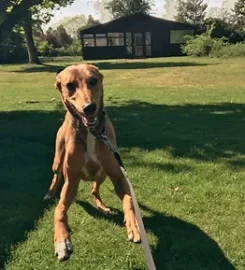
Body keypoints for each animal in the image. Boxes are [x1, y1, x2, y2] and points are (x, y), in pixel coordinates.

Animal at [44, 63, 140, 262]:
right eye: (70, 85)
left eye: (93, 80)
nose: (89, 107)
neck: (91, 132)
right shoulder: (71, 181)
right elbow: (59, 210)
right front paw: (62, 241)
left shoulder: (117, 175)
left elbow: (128, 199)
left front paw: (133, 224)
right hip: (58, 158)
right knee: (56, 175)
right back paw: (49, 194)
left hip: (102, 173)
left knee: (94, 189)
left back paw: (102, 207)